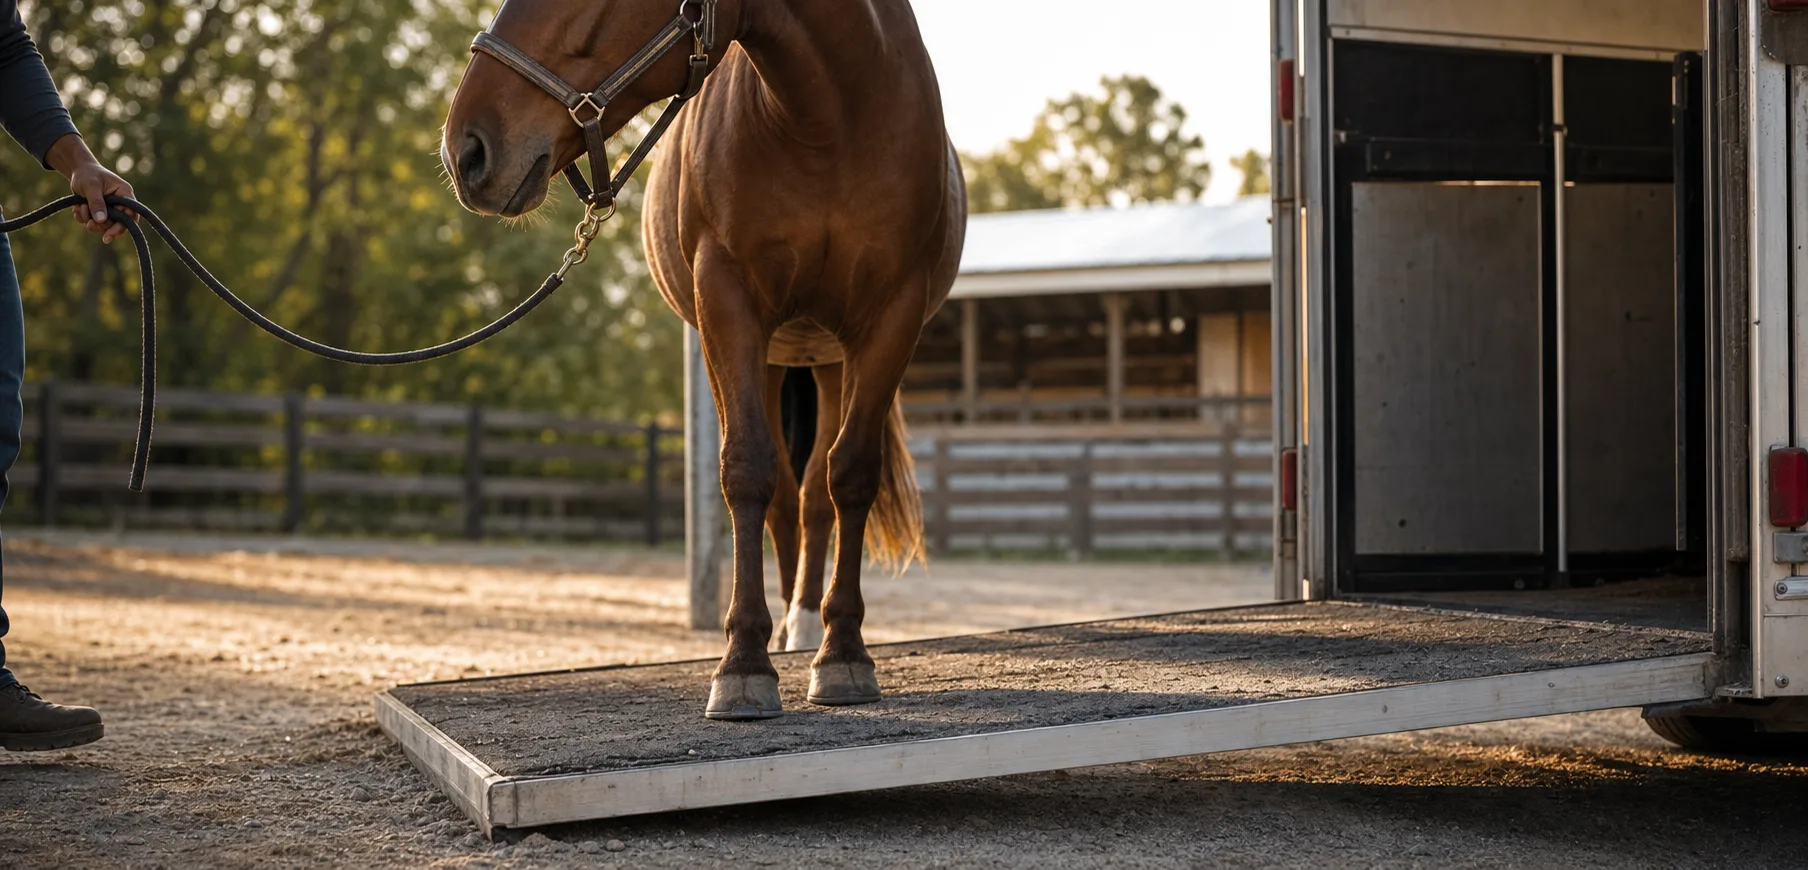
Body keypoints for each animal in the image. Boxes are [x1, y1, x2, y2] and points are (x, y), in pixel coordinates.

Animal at [442, 0, 967, 720]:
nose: (466, 148)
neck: (828, 119)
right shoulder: (728, 302)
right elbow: (747, 472)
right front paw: (744, 664)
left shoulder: (893, 316)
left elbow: (852, 475)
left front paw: (845, 657)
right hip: (779, 356)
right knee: (785, 498)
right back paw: (788, 628)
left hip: (829, 359)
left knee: (816, 494)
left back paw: (810, 626)